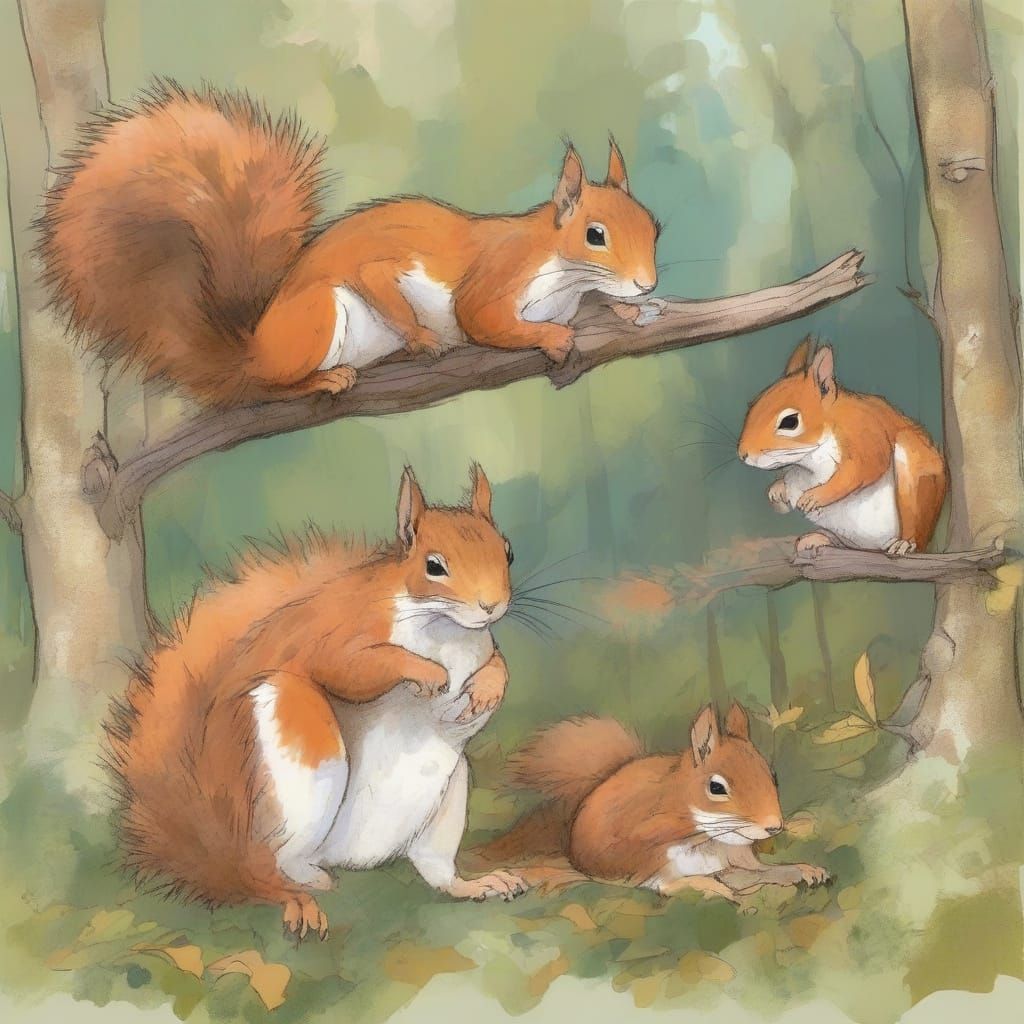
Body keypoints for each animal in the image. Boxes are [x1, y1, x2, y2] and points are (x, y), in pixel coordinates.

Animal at [39, 81, 660, 408]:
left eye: (654, 227)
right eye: (595, 235)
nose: (648, 282)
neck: (562, 273)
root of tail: (251, 347)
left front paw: (630, 312)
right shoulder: (492, 278)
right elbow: (475, 316)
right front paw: (541, 337)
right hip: (315, 319)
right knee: (267, 387)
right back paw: (323, 378)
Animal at [104, 464, 527, 940]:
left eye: (508, 552)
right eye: (433, 566)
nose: (491, 606)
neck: (444, 626)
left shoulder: (481, 650)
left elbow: (495, 667)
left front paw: (487, 688)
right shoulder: (336, 632)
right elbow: (348, 666)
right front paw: (427, 673)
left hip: (445, 800)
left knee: (434, 869)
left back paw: (475, 885)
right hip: (292, 765)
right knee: (260, 873)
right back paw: (294, 897)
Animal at [478, 703, 829, 902]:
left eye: (773, 774)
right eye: (716, 787)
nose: (774, 826)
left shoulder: (737, 857)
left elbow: (764, 870)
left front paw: (803, 869)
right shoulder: (647, 840)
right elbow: (665, 882)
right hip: (642, 859)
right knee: (667, 886)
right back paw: (714, 888)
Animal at [737, 337, 947, 556]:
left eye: (790, 421)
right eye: (752, 405)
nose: (743, 454)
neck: (808, 460)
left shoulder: (864, 434)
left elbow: (863, 469)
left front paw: (816, 496)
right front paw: (776, 490)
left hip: (914, 477)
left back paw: (905, 543)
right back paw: (817, 538)